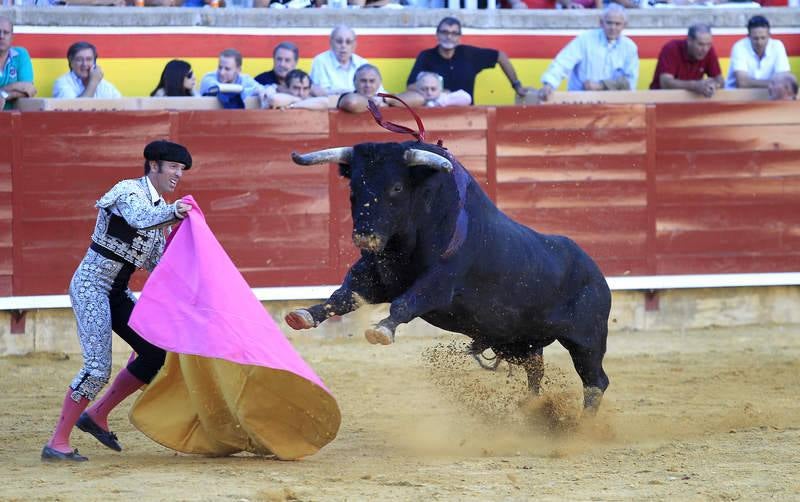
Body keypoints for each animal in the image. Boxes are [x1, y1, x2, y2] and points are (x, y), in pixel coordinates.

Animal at [284, 141, 608, 412]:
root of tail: (596, 273)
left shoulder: (438, 285)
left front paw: (382, 329)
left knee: (595, 382)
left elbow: (404, 303)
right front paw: (303, 315)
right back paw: (531, 411)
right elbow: (342, 296)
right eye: (354, 188)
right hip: (523, 342)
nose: (366, 236)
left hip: (587, 340)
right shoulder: (373, 277)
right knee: (536, 372)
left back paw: (582, 426)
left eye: (397, 187)